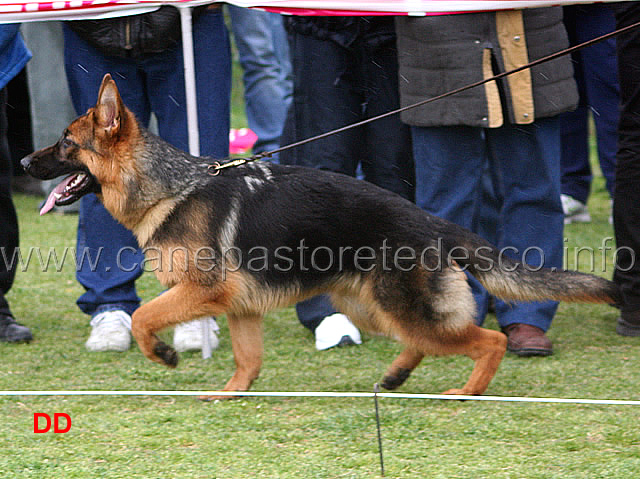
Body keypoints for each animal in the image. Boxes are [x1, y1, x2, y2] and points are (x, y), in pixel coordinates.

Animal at [21, 75, 620, 402]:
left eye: (65, 142)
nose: (24, 162)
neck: (171, 188)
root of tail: (433, 223)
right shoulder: (240, 309)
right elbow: (247, 362)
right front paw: (228, 394)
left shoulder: (202, 293)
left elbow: (145, 316)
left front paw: (164, 355)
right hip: (366, 305)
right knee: (422, 342)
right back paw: (398, 374)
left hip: (399, 307)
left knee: (487, 340)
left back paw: (467, 393)